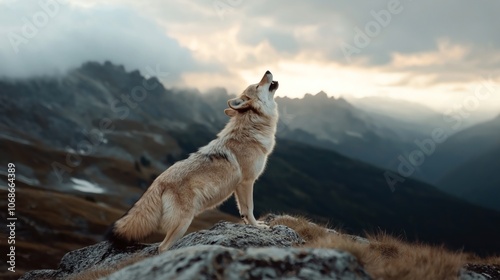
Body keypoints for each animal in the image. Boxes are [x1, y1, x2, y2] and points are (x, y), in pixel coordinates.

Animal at [107, 71, 280, 253]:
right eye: (257, 85)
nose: (268, 71)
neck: (251, 130)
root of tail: (158, 182)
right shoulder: (246, 182)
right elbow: (250, 209)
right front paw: (258, 227)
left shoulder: (238, 188)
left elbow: (243, 211)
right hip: (183, 223)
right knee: (162, 248)